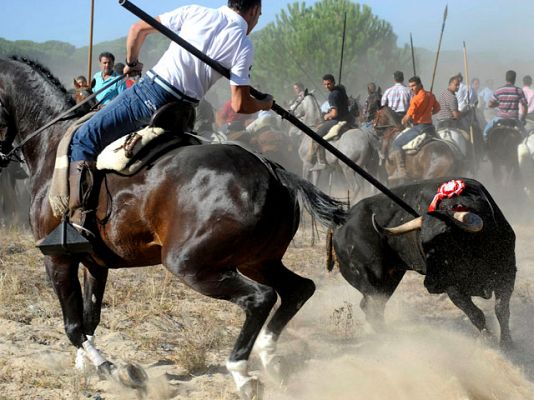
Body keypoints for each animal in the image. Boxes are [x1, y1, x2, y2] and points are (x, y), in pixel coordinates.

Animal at [0, 57, 348, 400]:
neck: (51, 144)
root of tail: (270, 169)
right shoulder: (95, 264)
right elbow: (89, 319)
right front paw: (85, 365)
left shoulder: (57, 259)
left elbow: (74, 327)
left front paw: (116, 372)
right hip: (258, 260)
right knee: (298, 289)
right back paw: (269, 357)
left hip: (191, 264)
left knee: (260, 298)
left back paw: (241, 372)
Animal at [328, 178, 516, 346]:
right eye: (422, 244)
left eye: (448, 240)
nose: (429, 284)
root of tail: (340, 224)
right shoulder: (452, 287)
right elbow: (476, 314)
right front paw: (490, 341)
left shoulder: (507, 272)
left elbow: (501, 309)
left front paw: (507, 343)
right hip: (370, 281)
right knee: (372, 309)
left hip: (389, 280)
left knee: (371, 308)